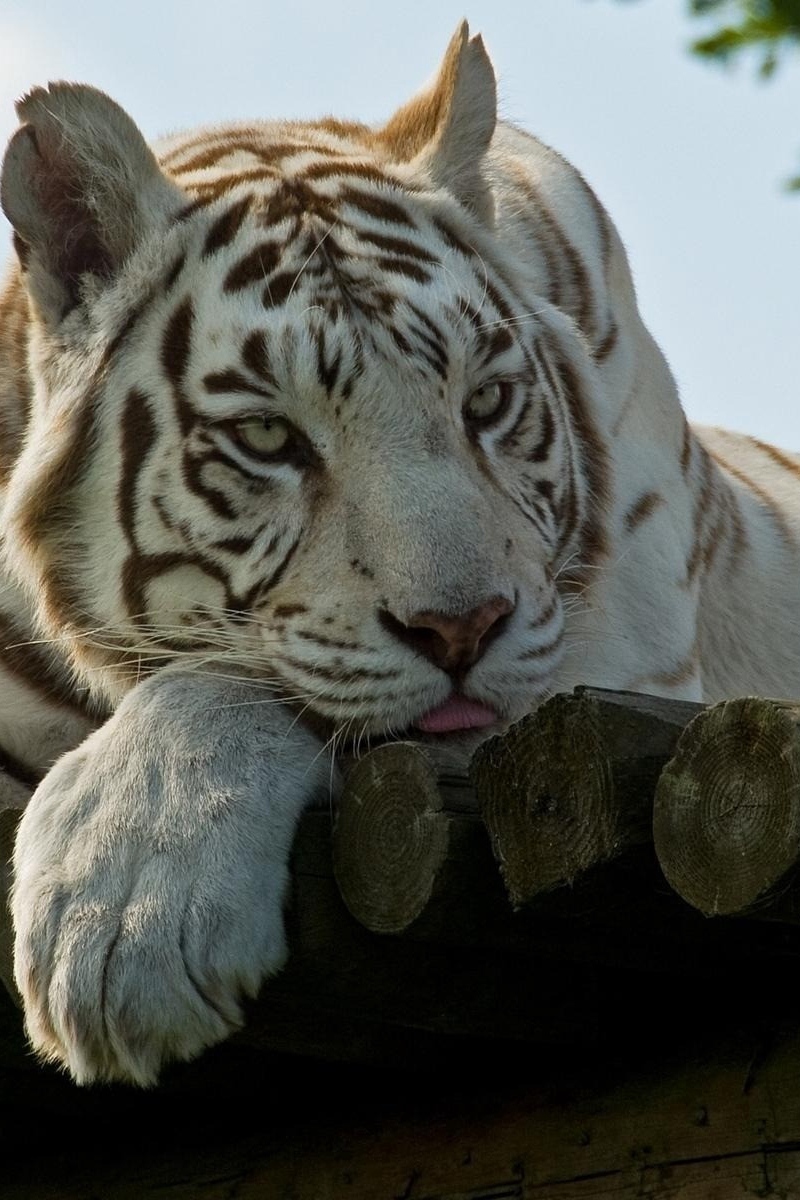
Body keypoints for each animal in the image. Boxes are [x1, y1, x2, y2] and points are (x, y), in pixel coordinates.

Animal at [1, 21, 799, 1087]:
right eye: (268, 437)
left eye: (486, 403)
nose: (463, 630)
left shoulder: (614, 662)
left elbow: (237, 684)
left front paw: (124, 913)